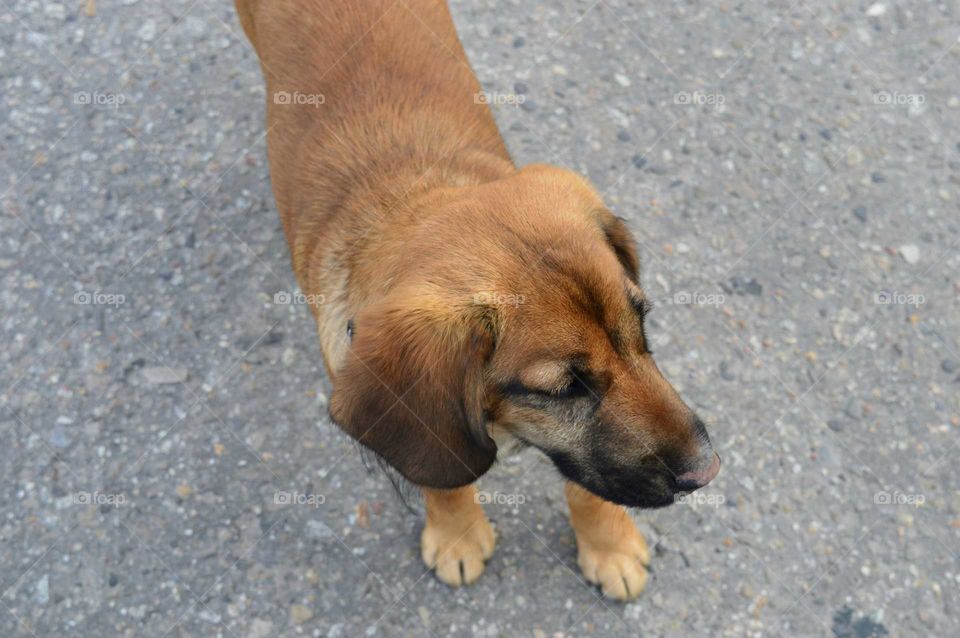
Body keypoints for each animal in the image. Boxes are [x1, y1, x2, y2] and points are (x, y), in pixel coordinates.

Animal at [238, 0, 720, 604]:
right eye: (564, 389)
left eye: (643, 327)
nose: (709, 472)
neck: (410, 190)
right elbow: (444, 478)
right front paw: (456, 534)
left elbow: (587, 484)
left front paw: (609, 545)